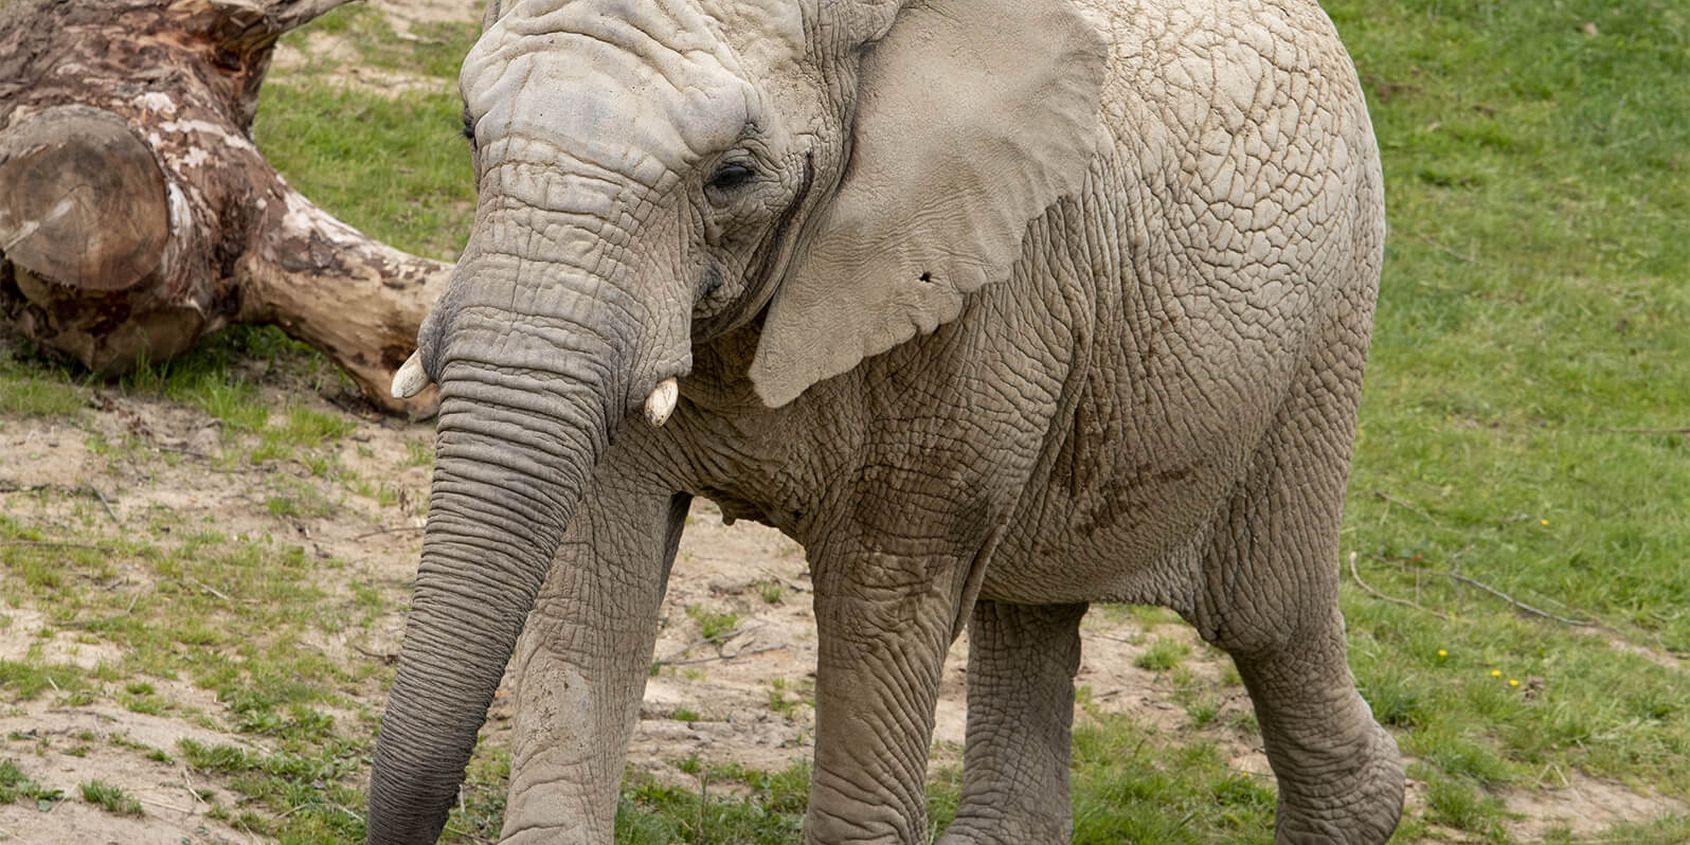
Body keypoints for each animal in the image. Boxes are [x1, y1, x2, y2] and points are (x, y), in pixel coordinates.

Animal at [366, 0, 1403, 842]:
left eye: (731, 175)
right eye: (469, 130)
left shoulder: (979, 293)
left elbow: (883, 599)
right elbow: (598, 586)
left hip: (1322, 335)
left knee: (1267, 614)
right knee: (1029, 602)